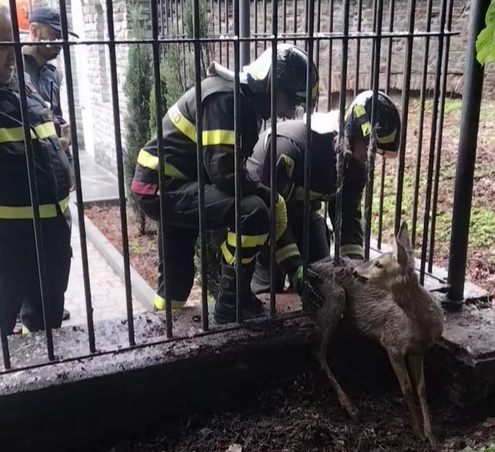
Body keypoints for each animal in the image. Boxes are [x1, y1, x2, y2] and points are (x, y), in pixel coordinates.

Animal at [310, 221, 446, 446]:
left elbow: (421, 388)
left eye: (380, 264)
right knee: (318, 353)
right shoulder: (392, 343)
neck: (419, 327)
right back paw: (351, 408)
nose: (354, 271)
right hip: (333, 297)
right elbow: (406, 387)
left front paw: (432, 436)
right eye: (375, 260)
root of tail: (312, 265)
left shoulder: (418, 350)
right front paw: (418, 432)